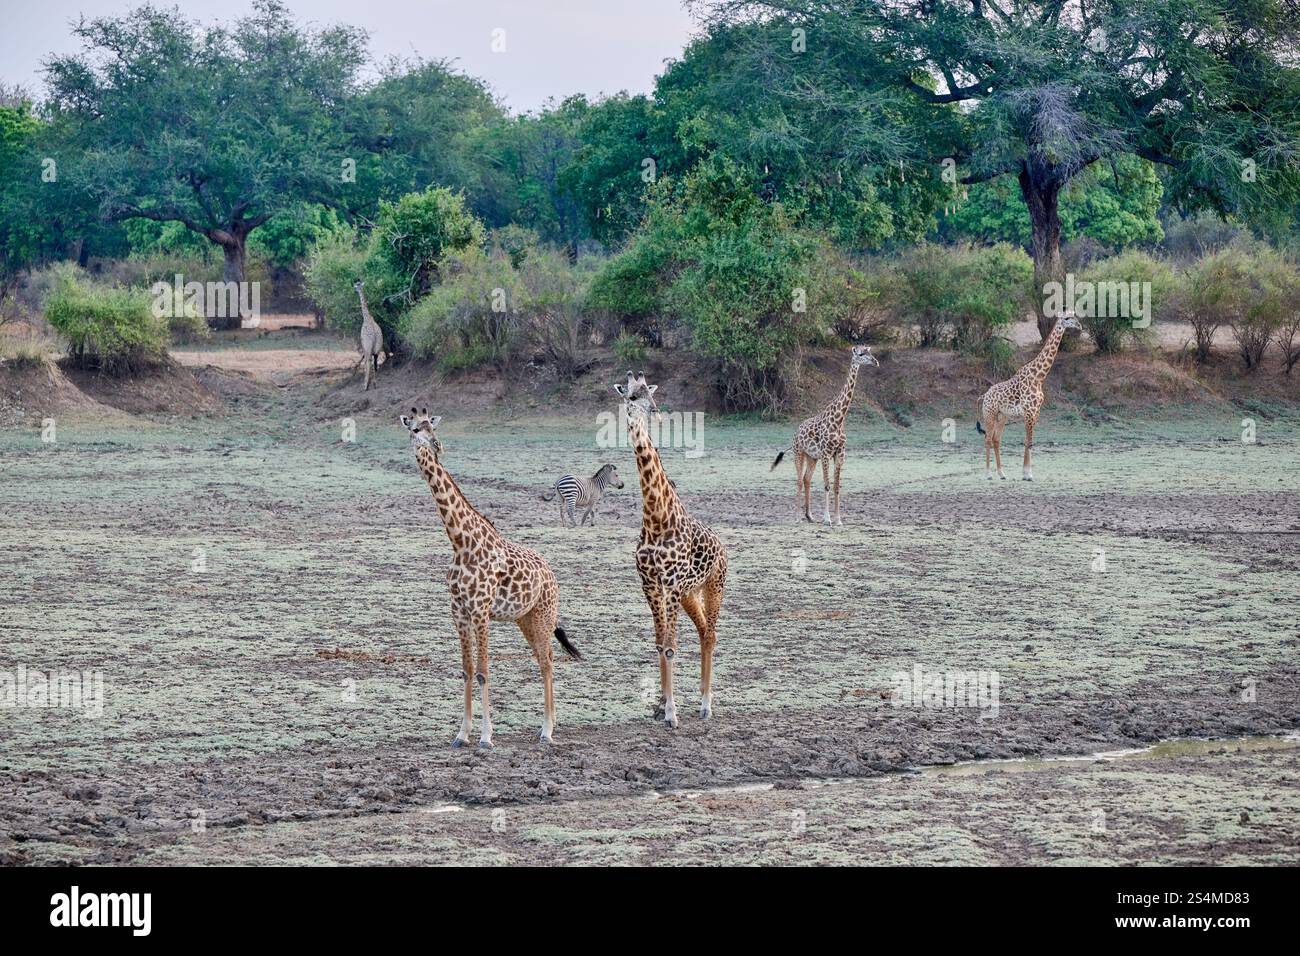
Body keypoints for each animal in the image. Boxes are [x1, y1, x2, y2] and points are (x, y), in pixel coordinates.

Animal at [400, 407, 581, 747]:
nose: (437, 445)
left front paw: (485, 737)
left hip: (544, 615)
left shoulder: (481, 611)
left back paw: (547, 731)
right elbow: (467, 670)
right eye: (415, 428)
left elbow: (484, 671)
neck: (461, 541)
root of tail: (551, 574)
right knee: (543, 659)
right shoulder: (459, 611)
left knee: (548, 662)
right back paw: (549, 726)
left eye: (432, 427)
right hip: (525, 619)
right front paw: (462, 735)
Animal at [615, 371, 727, 729]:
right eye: (631, 397)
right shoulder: (650, 584)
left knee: (711, 634)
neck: (655, 517)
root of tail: (723, 547)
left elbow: (670, 646)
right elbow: (658, 642)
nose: (654, 412)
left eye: (650, 394)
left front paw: (672, 713)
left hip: (714, 585)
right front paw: (660, 705)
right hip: (692, 593)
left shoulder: (672, 584)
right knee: (704, 630)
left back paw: (706, 705)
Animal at [770, 345, 879, 524]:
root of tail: (796, 431)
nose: (875, 362)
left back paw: (810, 516)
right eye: (861, 353)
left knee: (806, 479)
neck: (839, 420)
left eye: (870, 351)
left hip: (812, 457)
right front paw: (827, 519)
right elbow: (827, 485)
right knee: (799, 480)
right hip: (799, 453)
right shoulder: (826, 454)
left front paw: (838, 520)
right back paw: (796, 517)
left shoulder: (839, 454)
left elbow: (836, 486)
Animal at [976, 313, 1082, 481]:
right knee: (987, 439)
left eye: (1074, 315)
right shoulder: (1029, 412)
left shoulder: (1036, 412)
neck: (1038, 377)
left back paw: (1002, 474)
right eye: (1066, 318)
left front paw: (1026, 473)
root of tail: (984, 395)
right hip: (989, 415)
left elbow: (1029, 441)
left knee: (996, 439)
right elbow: (1029, 441)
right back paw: (988, 474)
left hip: (1002, 416)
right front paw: (1028, 474)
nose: (1079, 326)